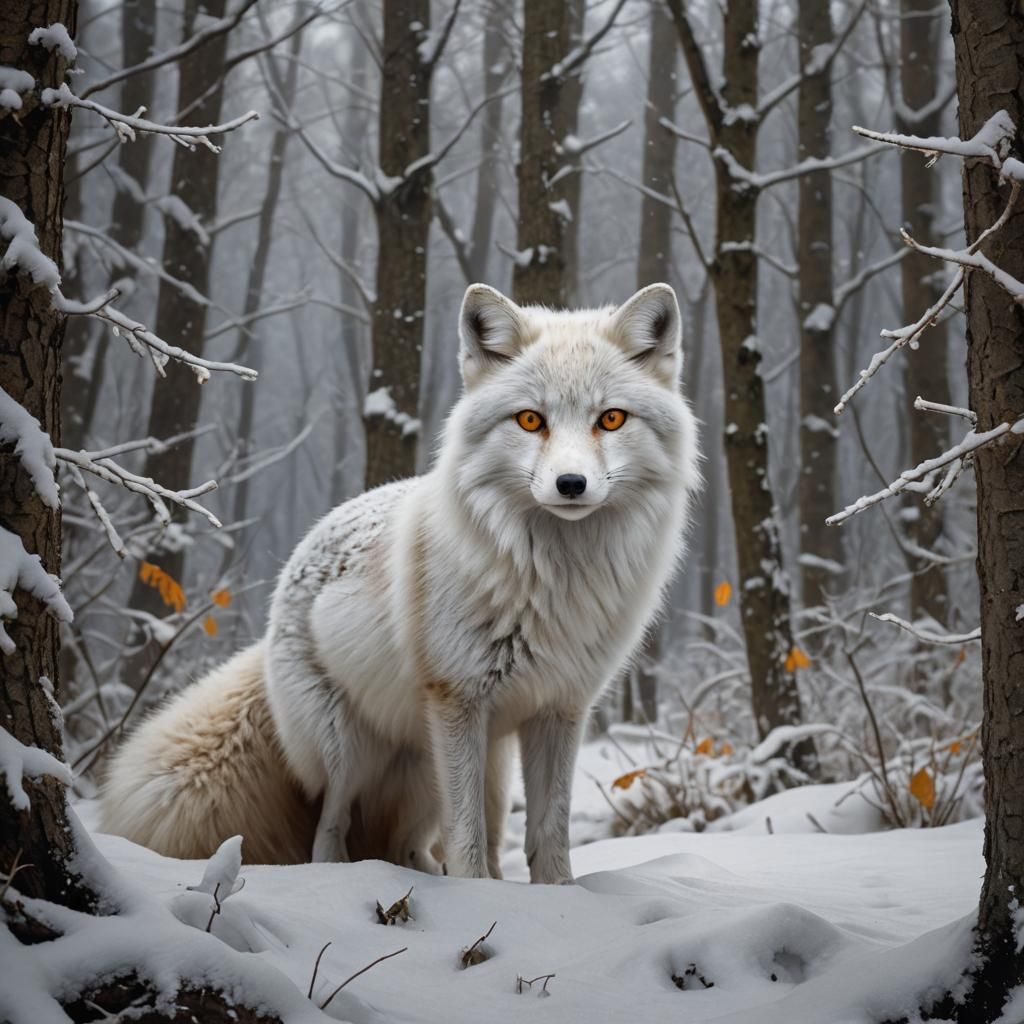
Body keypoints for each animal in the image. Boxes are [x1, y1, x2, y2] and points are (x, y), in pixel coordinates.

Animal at [98, 282, 700, 883]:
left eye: (612, 419)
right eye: (531, 421)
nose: (570, 484)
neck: (554, 580)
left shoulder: (559, 710)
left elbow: (548, 836)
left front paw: (556, 898)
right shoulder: (457, 701)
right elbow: (467, 843)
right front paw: (480, 898)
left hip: (467, 767)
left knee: (420, 845)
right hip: (350, 754)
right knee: (331, 833)